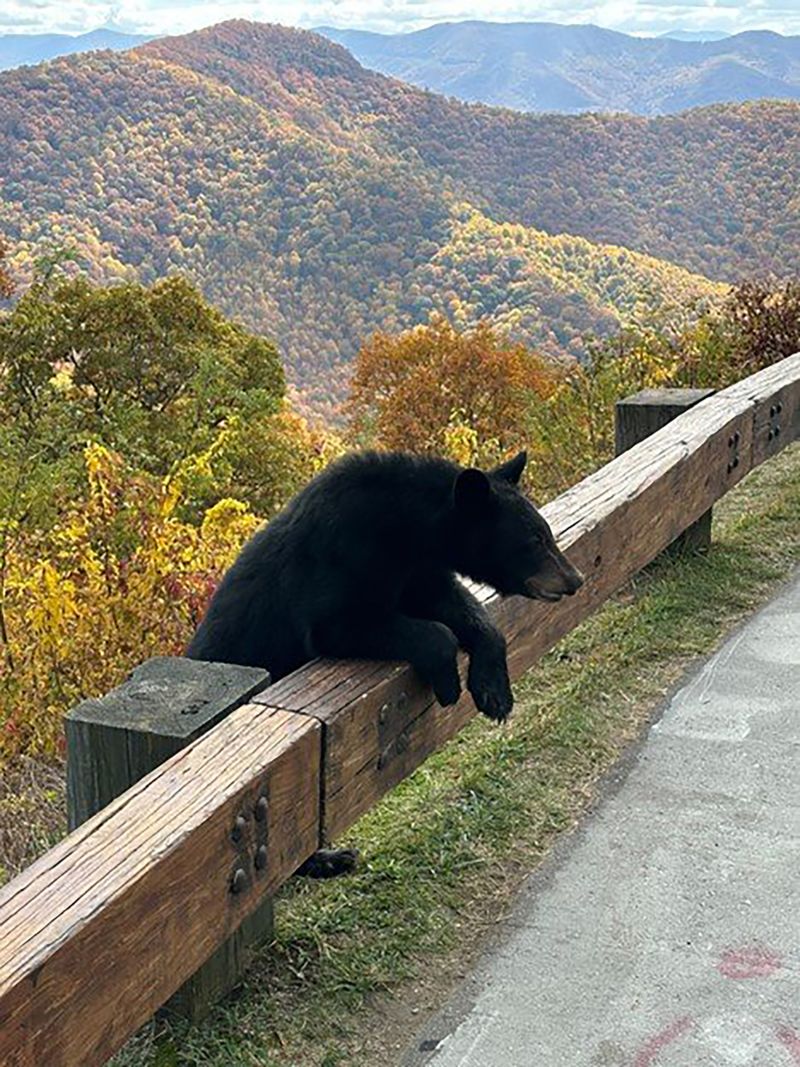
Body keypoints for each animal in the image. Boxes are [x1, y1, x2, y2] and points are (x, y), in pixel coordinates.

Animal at [190, 450, 584, 874]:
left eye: (546, 532)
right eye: (534, 540)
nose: (575, 579)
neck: (406, 528)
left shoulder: (421, 571)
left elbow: (458, 608)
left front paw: (495, 694)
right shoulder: (342, 557)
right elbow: (353, 622)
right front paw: (449, 682)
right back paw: (323, 859)